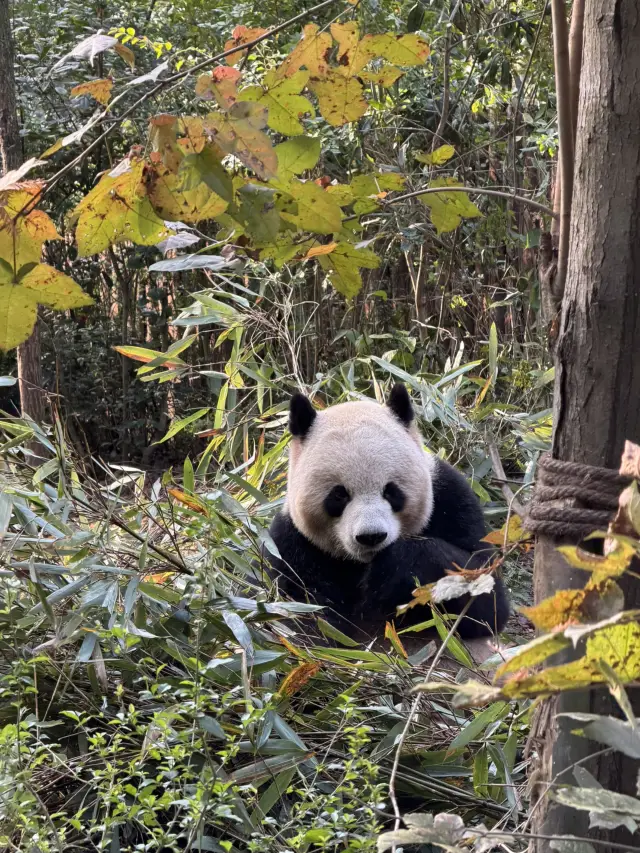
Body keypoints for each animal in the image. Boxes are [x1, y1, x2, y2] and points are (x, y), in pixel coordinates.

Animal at [264, 383, 509, 640]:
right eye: (339, 495)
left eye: (391, 491)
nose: (371, 536)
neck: (361, 563)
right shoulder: (290, 544)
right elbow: (301, 618)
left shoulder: (451, 499)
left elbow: (483, 595)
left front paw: (388, 571)